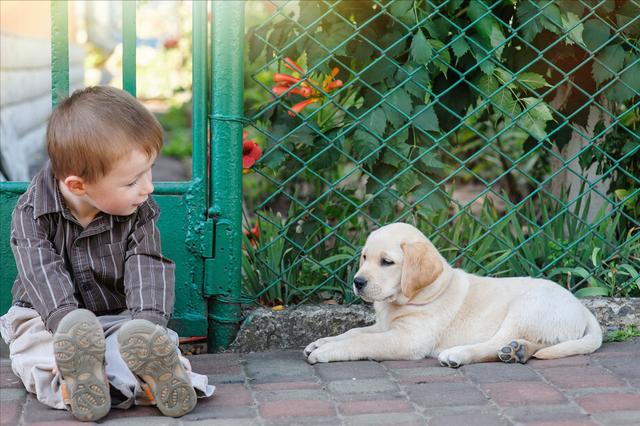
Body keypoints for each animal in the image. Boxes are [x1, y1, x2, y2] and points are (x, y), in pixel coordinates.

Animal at [302, 223, 604, 366]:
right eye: (365, 257)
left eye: (386, 262)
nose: (358, 282)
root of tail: (583, 309)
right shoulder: (384, 326)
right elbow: (354, 332)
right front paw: (321, 342)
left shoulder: (408, 338)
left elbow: (362, 342)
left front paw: (327, 350)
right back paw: (517, 351)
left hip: (525, 309)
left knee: (492, 343)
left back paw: (459, 354)